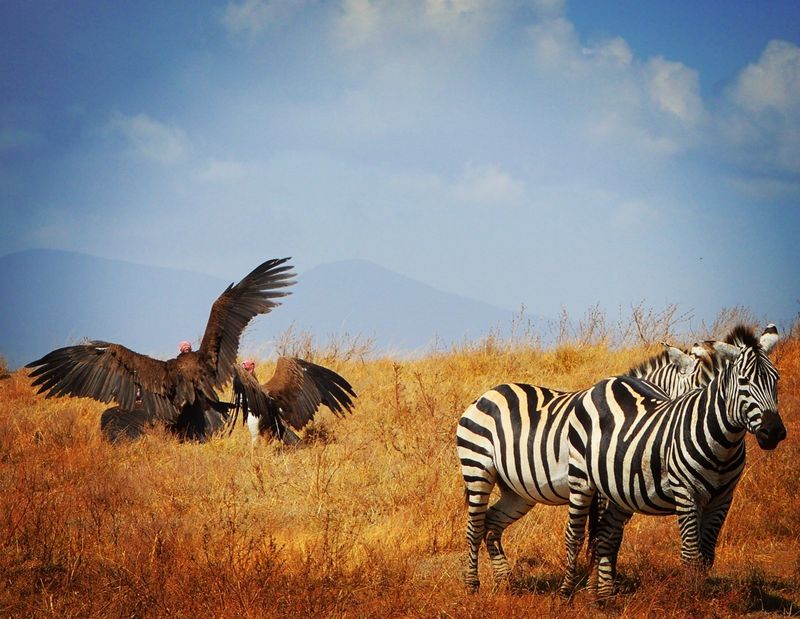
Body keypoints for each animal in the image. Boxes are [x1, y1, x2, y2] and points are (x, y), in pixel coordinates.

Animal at [456, 341, 724, 592]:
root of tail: (487, 394)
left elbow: (612, 536)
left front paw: (604, 583)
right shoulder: (601, 489)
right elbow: (600, 535)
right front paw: (594, 585)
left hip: (518, 489)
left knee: (492, 522)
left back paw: (505, 581)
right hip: (477, 467)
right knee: (475, 526)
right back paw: (472, 585)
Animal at [561, 324, 786, 599]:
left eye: (776, 380)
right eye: (744, 382)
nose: (773, 432)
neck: (724, 444)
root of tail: (606, 383)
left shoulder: (722, 498)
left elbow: (706, 556)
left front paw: (701, 596)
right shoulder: (687, 493)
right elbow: (690, 555)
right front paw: (690, 599)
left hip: (618, 488)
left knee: (606, 534)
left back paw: (604, 596)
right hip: (582, 479)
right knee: (576, 534)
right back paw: (568, 591)